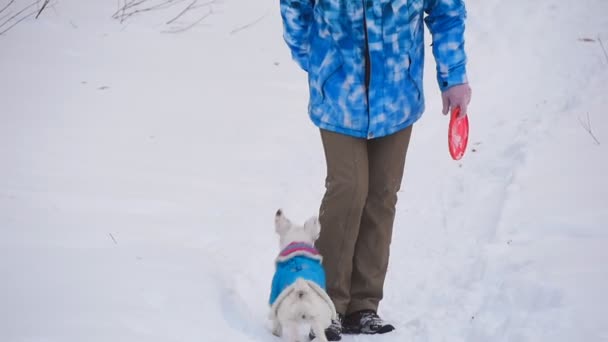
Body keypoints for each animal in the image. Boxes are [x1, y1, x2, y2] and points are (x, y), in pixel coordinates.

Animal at [270, 210, 338, 340]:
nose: (279, 211)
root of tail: (302, 290)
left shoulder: (274, 295)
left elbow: (276, 324)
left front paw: (275, 334)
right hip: (319, 320)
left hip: (290, 319)